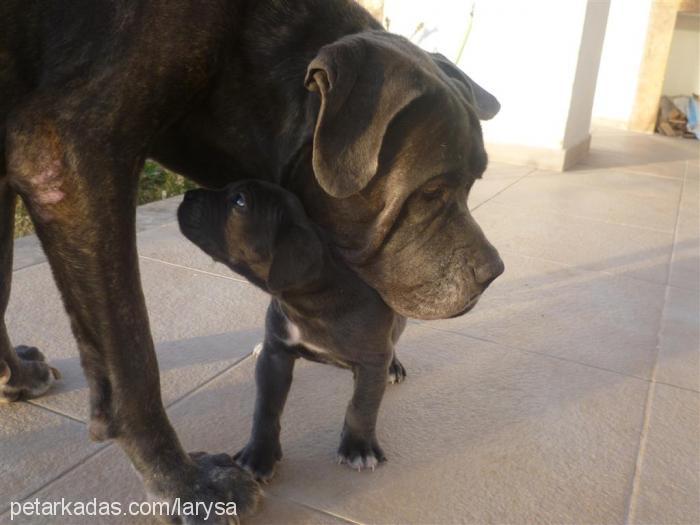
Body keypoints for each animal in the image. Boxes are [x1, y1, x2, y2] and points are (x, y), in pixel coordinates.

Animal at [178, 179, 408, 478]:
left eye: (239, 201)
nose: (187, 195)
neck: (309, 301)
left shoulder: (370, 361)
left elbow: (362, 405)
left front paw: (358, 448)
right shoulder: (276, 356)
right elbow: (266, 408)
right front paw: (259, 454)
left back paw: (393, 366)